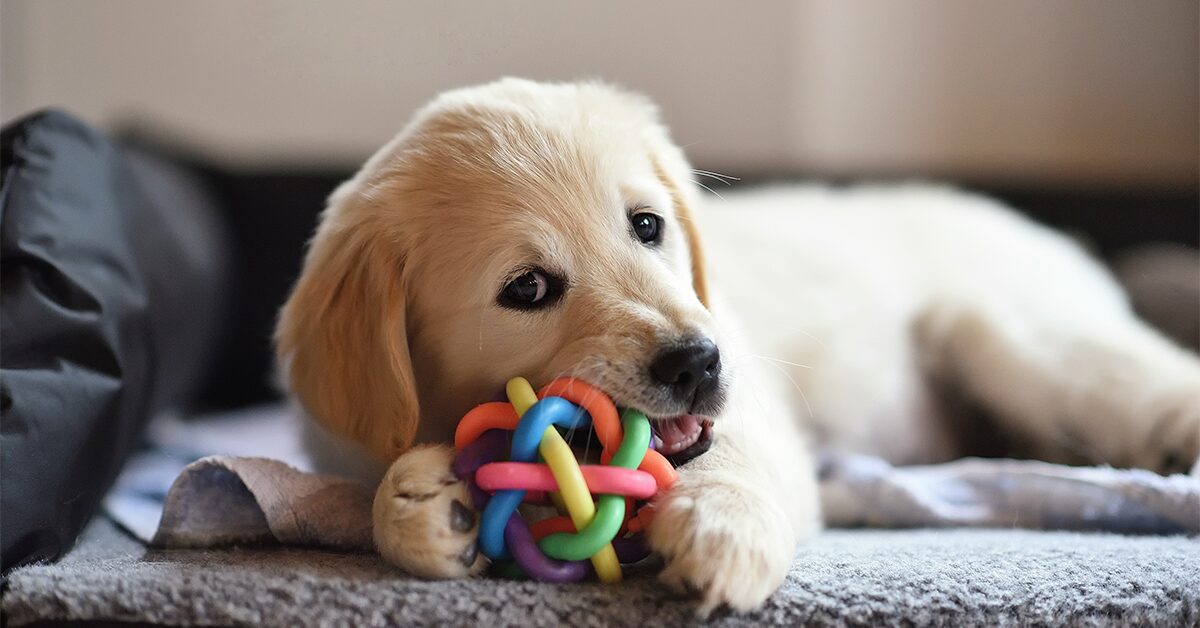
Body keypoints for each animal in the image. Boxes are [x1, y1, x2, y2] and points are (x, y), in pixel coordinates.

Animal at [276, 76, 1200, 612]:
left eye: (648, 225)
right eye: (527, 289)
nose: (697, 362)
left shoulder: (755, 406)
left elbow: (730, 457)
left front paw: (723, 530)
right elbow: (375, 488)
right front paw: (423, 503)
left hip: (1017, 341)